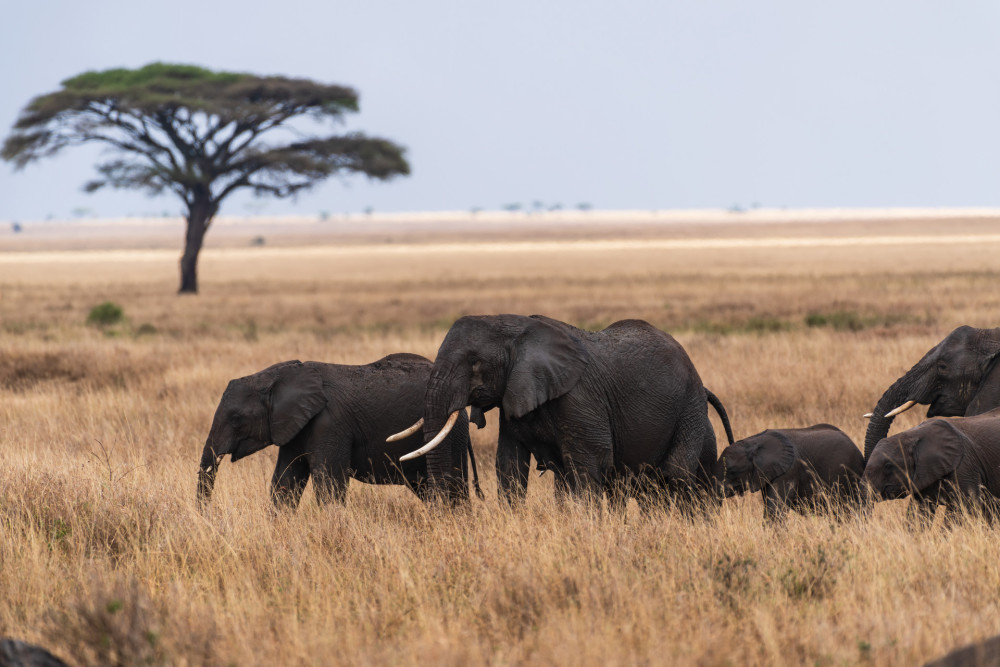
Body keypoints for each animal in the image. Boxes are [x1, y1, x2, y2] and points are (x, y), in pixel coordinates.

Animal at [198, 358, 480, 508]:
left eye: (236, 419)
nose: (208, 515)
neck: (279, 375)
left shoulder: (329, 424)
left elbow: (329, 485)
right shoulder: (294, 427)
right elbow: (285, 481)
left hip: (450, 435)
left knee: (451, 485)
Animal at [388, 316, 736, 508]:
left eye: (474, 363)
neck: (513, 327)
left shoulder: (579, 396)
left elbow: (591, 460)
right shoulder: (515, 393)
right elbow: (509, 463)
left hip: (689, 408)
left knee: (674, 473)